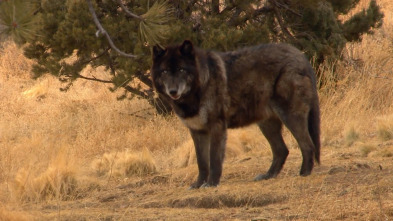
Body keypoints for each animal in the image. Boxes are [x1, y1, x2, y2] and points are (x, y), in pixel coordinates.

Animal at [150, 40, 318, 188]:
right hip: (266, 125)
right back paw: (268, 175)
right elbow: (202, 163)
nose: (173, 91)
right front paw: (198, 184)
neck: (199, 87)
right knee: (282, 150)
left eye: (181, 70)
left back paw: (304, 173)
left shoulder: (217, 127)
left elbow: (214, 160)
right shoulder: (197, 132)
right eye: (165, 71)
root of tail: (300, 55)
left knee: (308, 145)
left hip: (291, 117)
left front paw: (211, 183)